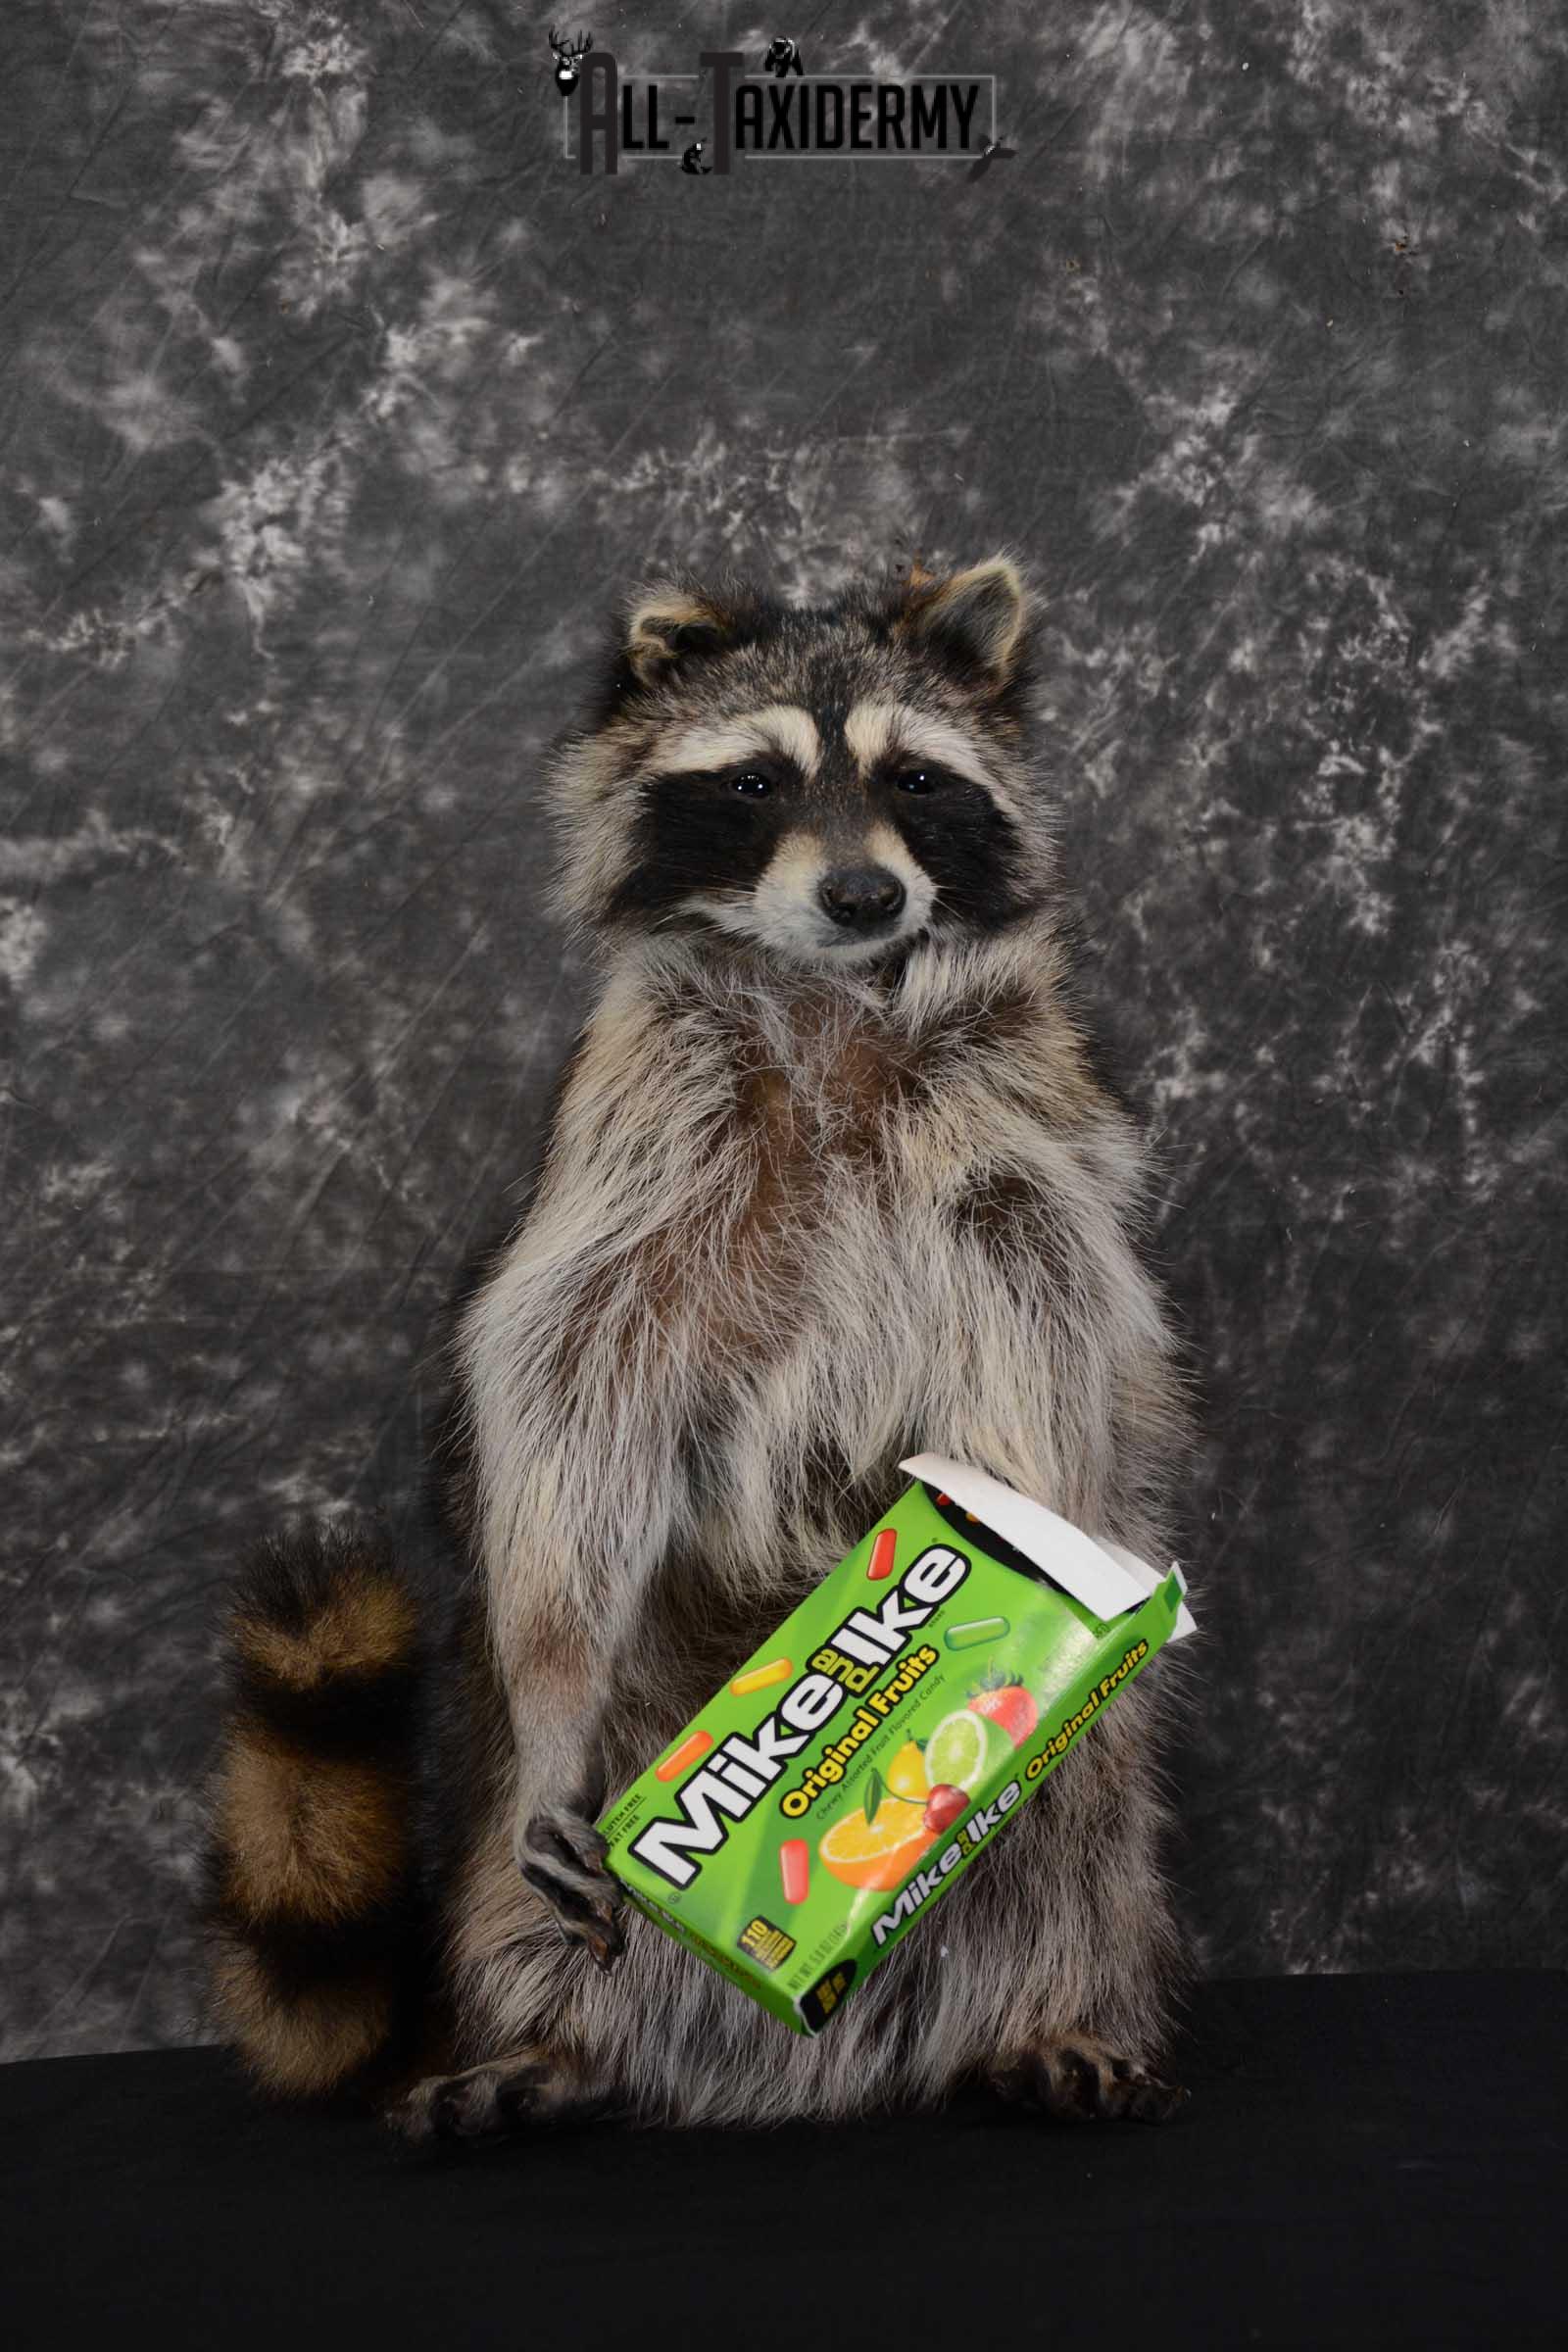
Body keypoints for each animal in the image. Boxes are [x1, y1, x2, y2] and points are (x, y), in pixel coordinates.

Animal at [204, 555, 1196, 2136]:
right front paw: (555, 1669)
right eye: (755, 782)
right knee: (528, 1894)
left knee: (1084, 1850)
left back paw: (1055, 2008)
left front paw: (1013, 1561)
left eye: (916, 779)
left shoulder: (1021, 1154)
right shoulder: (638, 1133)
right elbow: (568, 1388)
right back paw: (551, 2040)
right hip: (589, 1760)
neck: (836, 995)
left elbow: (1042, 1362)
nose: (863, 892)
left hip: (1098, 1808)